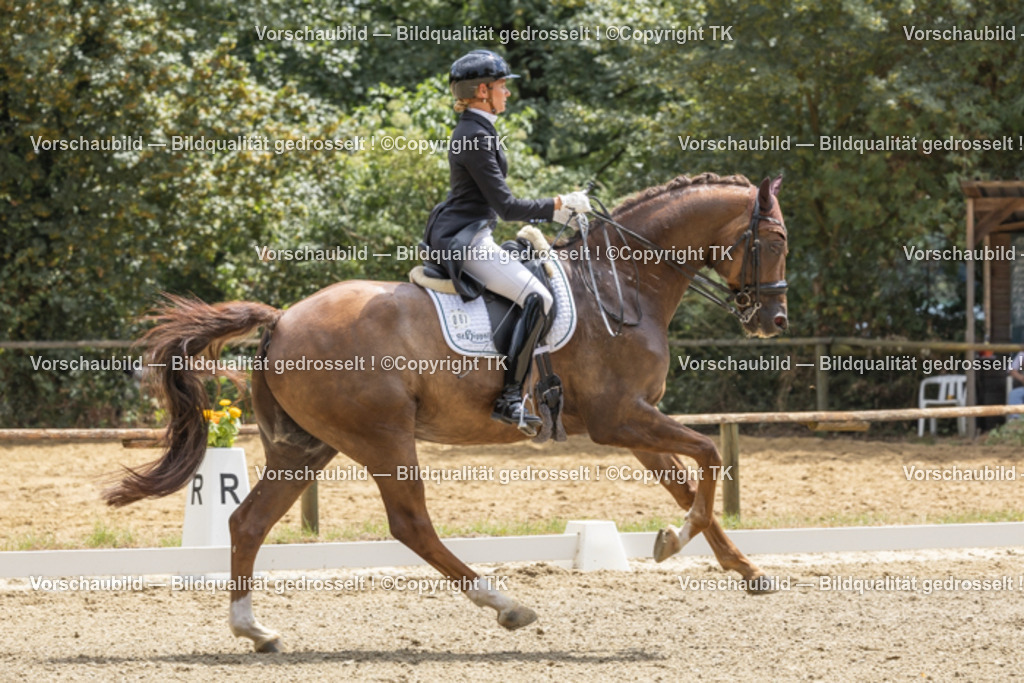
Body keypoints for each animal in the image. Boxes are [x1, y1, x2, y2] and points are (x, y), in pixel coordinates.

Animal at [106, 172, 789, 652]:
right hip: (383, 437)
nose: (774, 322)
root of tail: (281, 319)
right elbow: (707, 458)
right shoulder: (618, 418)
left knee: (248, 522)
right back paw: (506, 605)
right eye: (775, 241)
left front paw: (744, 569)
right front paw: (674, 542)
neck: (623, 285)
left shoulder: (635, 420)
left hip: (305, 446)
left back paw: (256, 631)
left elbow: (685, 480)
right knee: (412, 526)